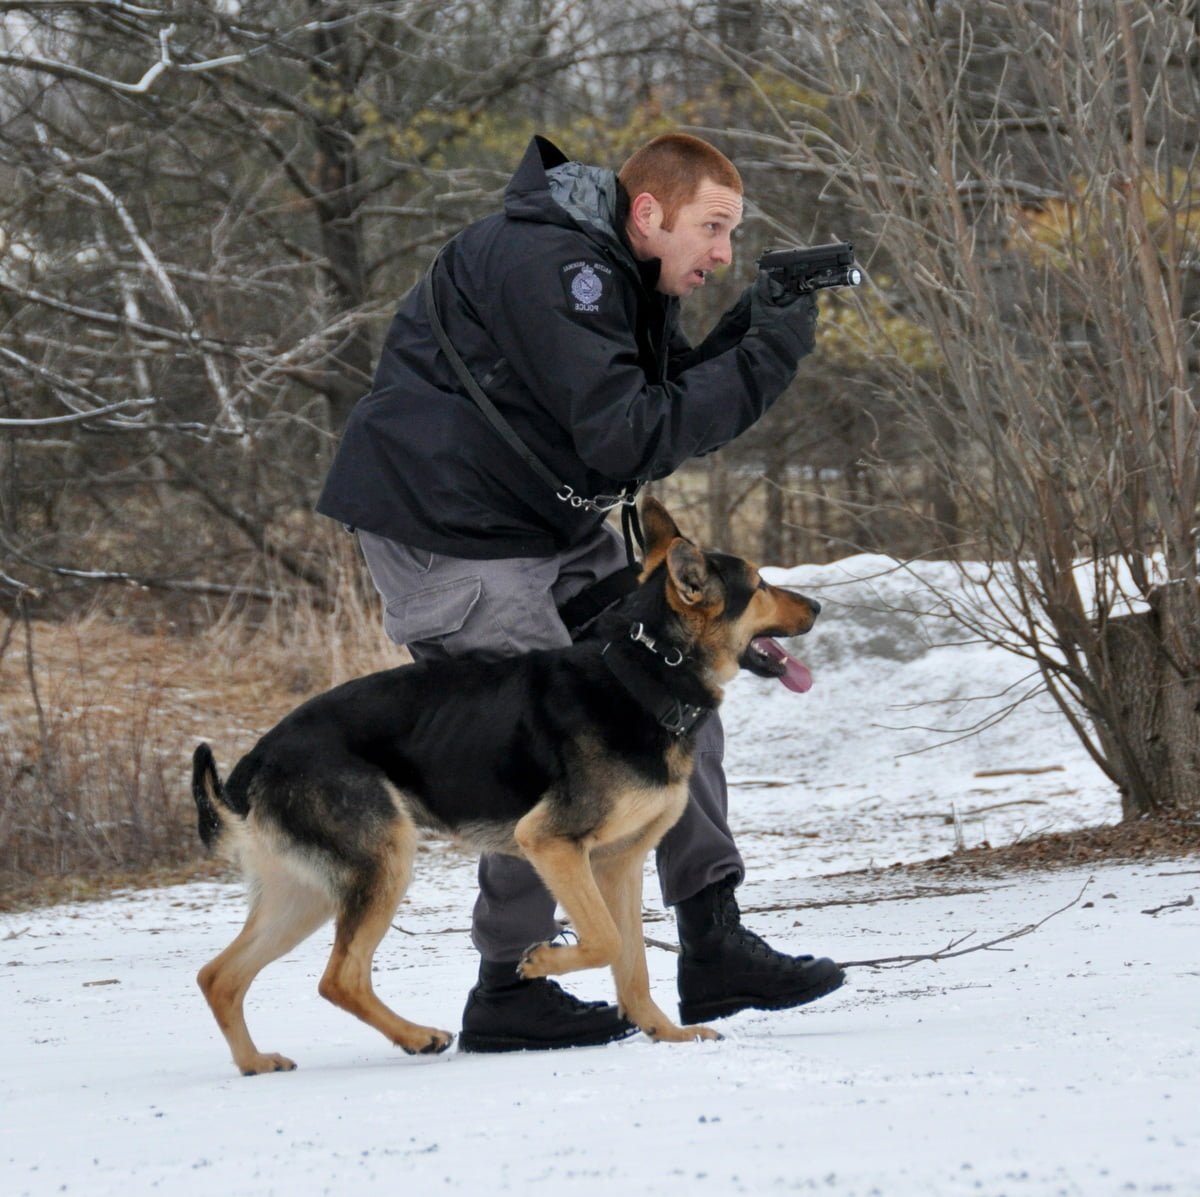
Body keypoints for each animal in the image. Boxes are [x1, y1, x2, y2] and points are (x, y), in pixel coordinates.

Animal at [192, 498, 820, 1079]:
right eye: (761, 585)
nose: (817, 605)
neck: (644, 670)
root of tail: (257, 758)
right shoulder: (551, 843)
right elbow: (608, 940)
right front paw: (540, 963)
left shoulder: (619, 862)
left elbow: (634, 963)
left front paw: (665, 1033)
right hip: (383, 862)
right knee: (339, 977)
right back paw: (418, 1037)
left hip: (309, 893)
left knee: (219, 975)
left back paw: (254, 1062)